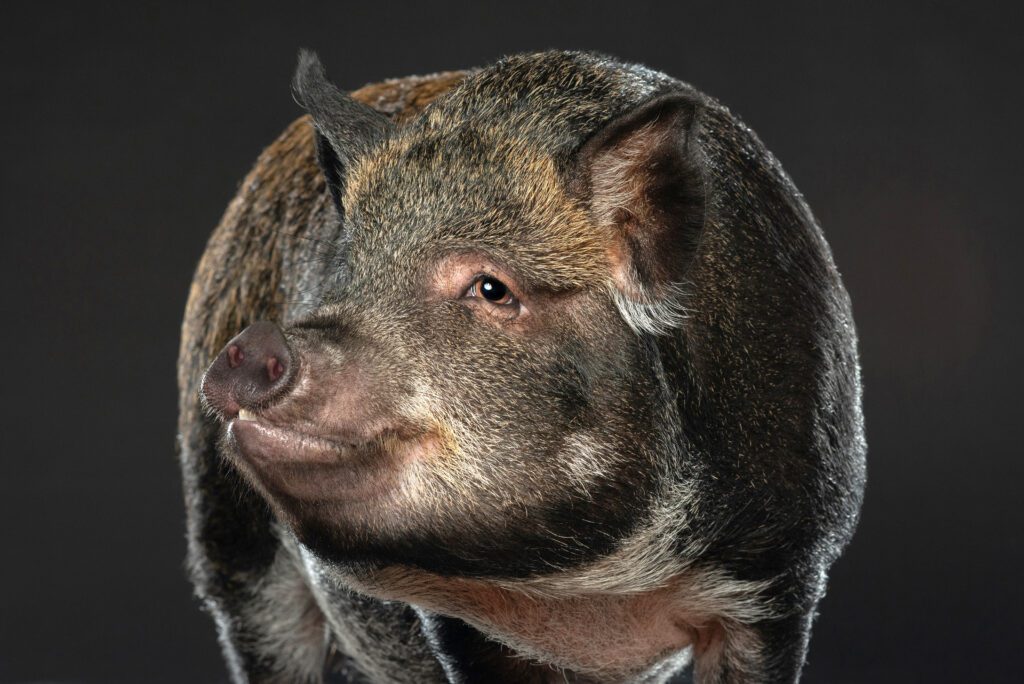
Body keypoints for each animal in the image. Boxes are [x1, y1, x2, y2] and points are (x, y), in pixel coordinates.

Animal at [178, 49, 866, 684]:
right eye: (347, 279)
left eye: (492, 288)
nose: (259, 342)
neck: (595, 591)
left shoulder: (781, 577)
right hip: (226, 539)